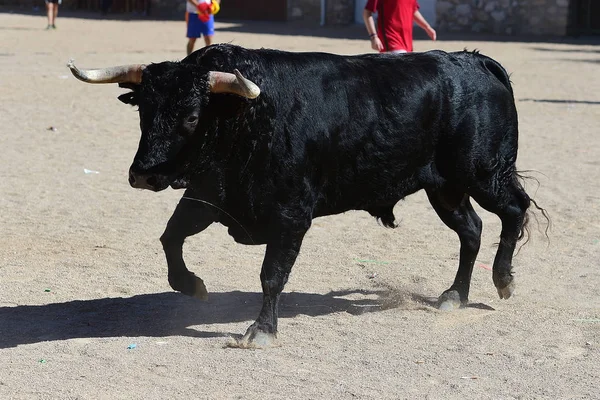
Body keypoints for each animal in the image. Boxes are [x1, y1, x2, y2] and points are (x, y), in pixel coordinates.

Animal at [70, 43, 540, 346]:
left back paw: (502, 280)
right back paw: (454, 296)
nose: (142, 174)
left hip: (483, 174)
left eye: (189, 115)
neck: (245, 117)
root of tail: (476, 62)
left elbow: (271, 274)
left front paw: (261, 331)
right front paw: (192, 286)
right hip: (445, 188)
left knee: (513, 211)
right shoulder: (208, 199)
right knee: (471, 230)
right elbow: (170, 237)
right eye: (143, 112)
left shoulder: (291, 216)